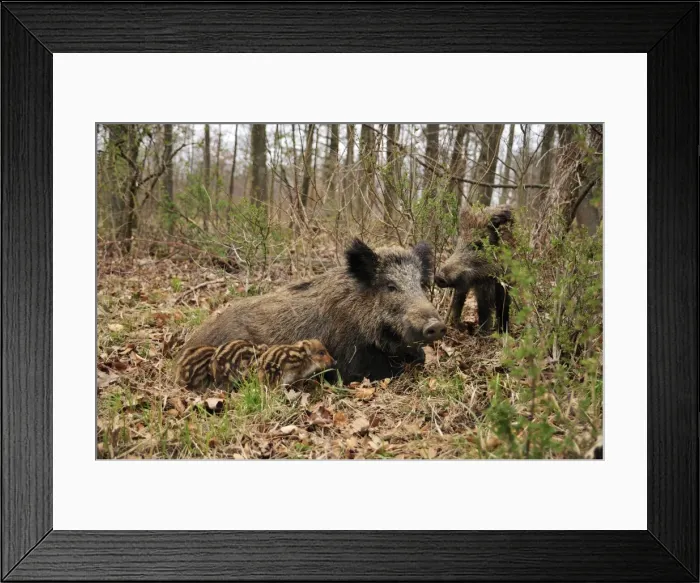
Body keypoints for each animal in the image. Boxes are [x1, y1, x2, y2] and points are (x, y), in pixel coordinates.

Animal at [435, 205, 513, 334]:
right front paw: (482, 332)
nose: (438, 277)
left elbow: (502, 306)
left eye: (478, 245)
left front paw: (501, 333)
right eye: (458, 244)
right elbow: (482, 306)